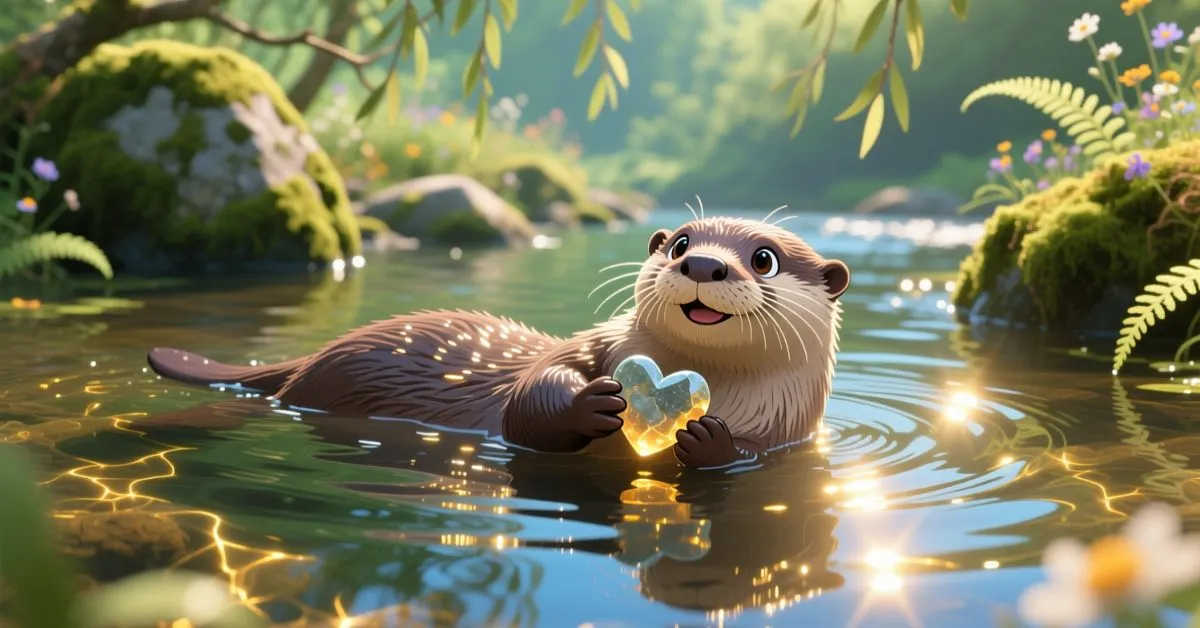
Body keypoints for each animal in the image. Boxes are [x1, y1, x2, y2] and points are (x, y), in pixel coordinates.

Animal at [146, 216, 850, 469]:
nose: (703, 264)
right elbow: (528, 402)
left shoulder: (784, 427)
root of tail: (322, 350)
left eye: (763, 258)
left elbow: (749, 455)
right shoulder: (590, 346)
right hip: (319, 384)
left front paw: (708, 439)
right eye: (679, 242)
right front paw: (593, 404)